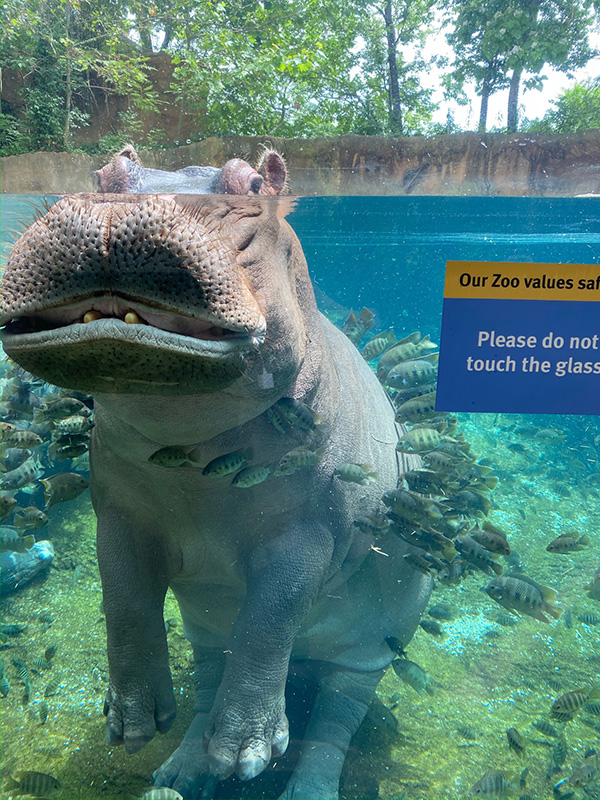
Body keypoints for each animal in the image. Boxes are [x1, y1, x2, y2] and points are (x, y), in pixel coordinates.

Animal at [0, 151, 431, 799]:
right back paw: (181, 769)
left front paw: (245, 753)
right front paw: (130, 723)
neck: (194, 455)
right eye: (104, 173)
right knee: (209, 676)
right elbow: (124, 599)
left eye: (254, 185)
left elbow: (270, 616)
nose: (119, 205)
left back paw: (300, 783)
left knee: (335, 719)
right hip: (205, 622)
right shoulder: (119, 515)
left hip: (370, 650)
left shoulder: (309, 534)